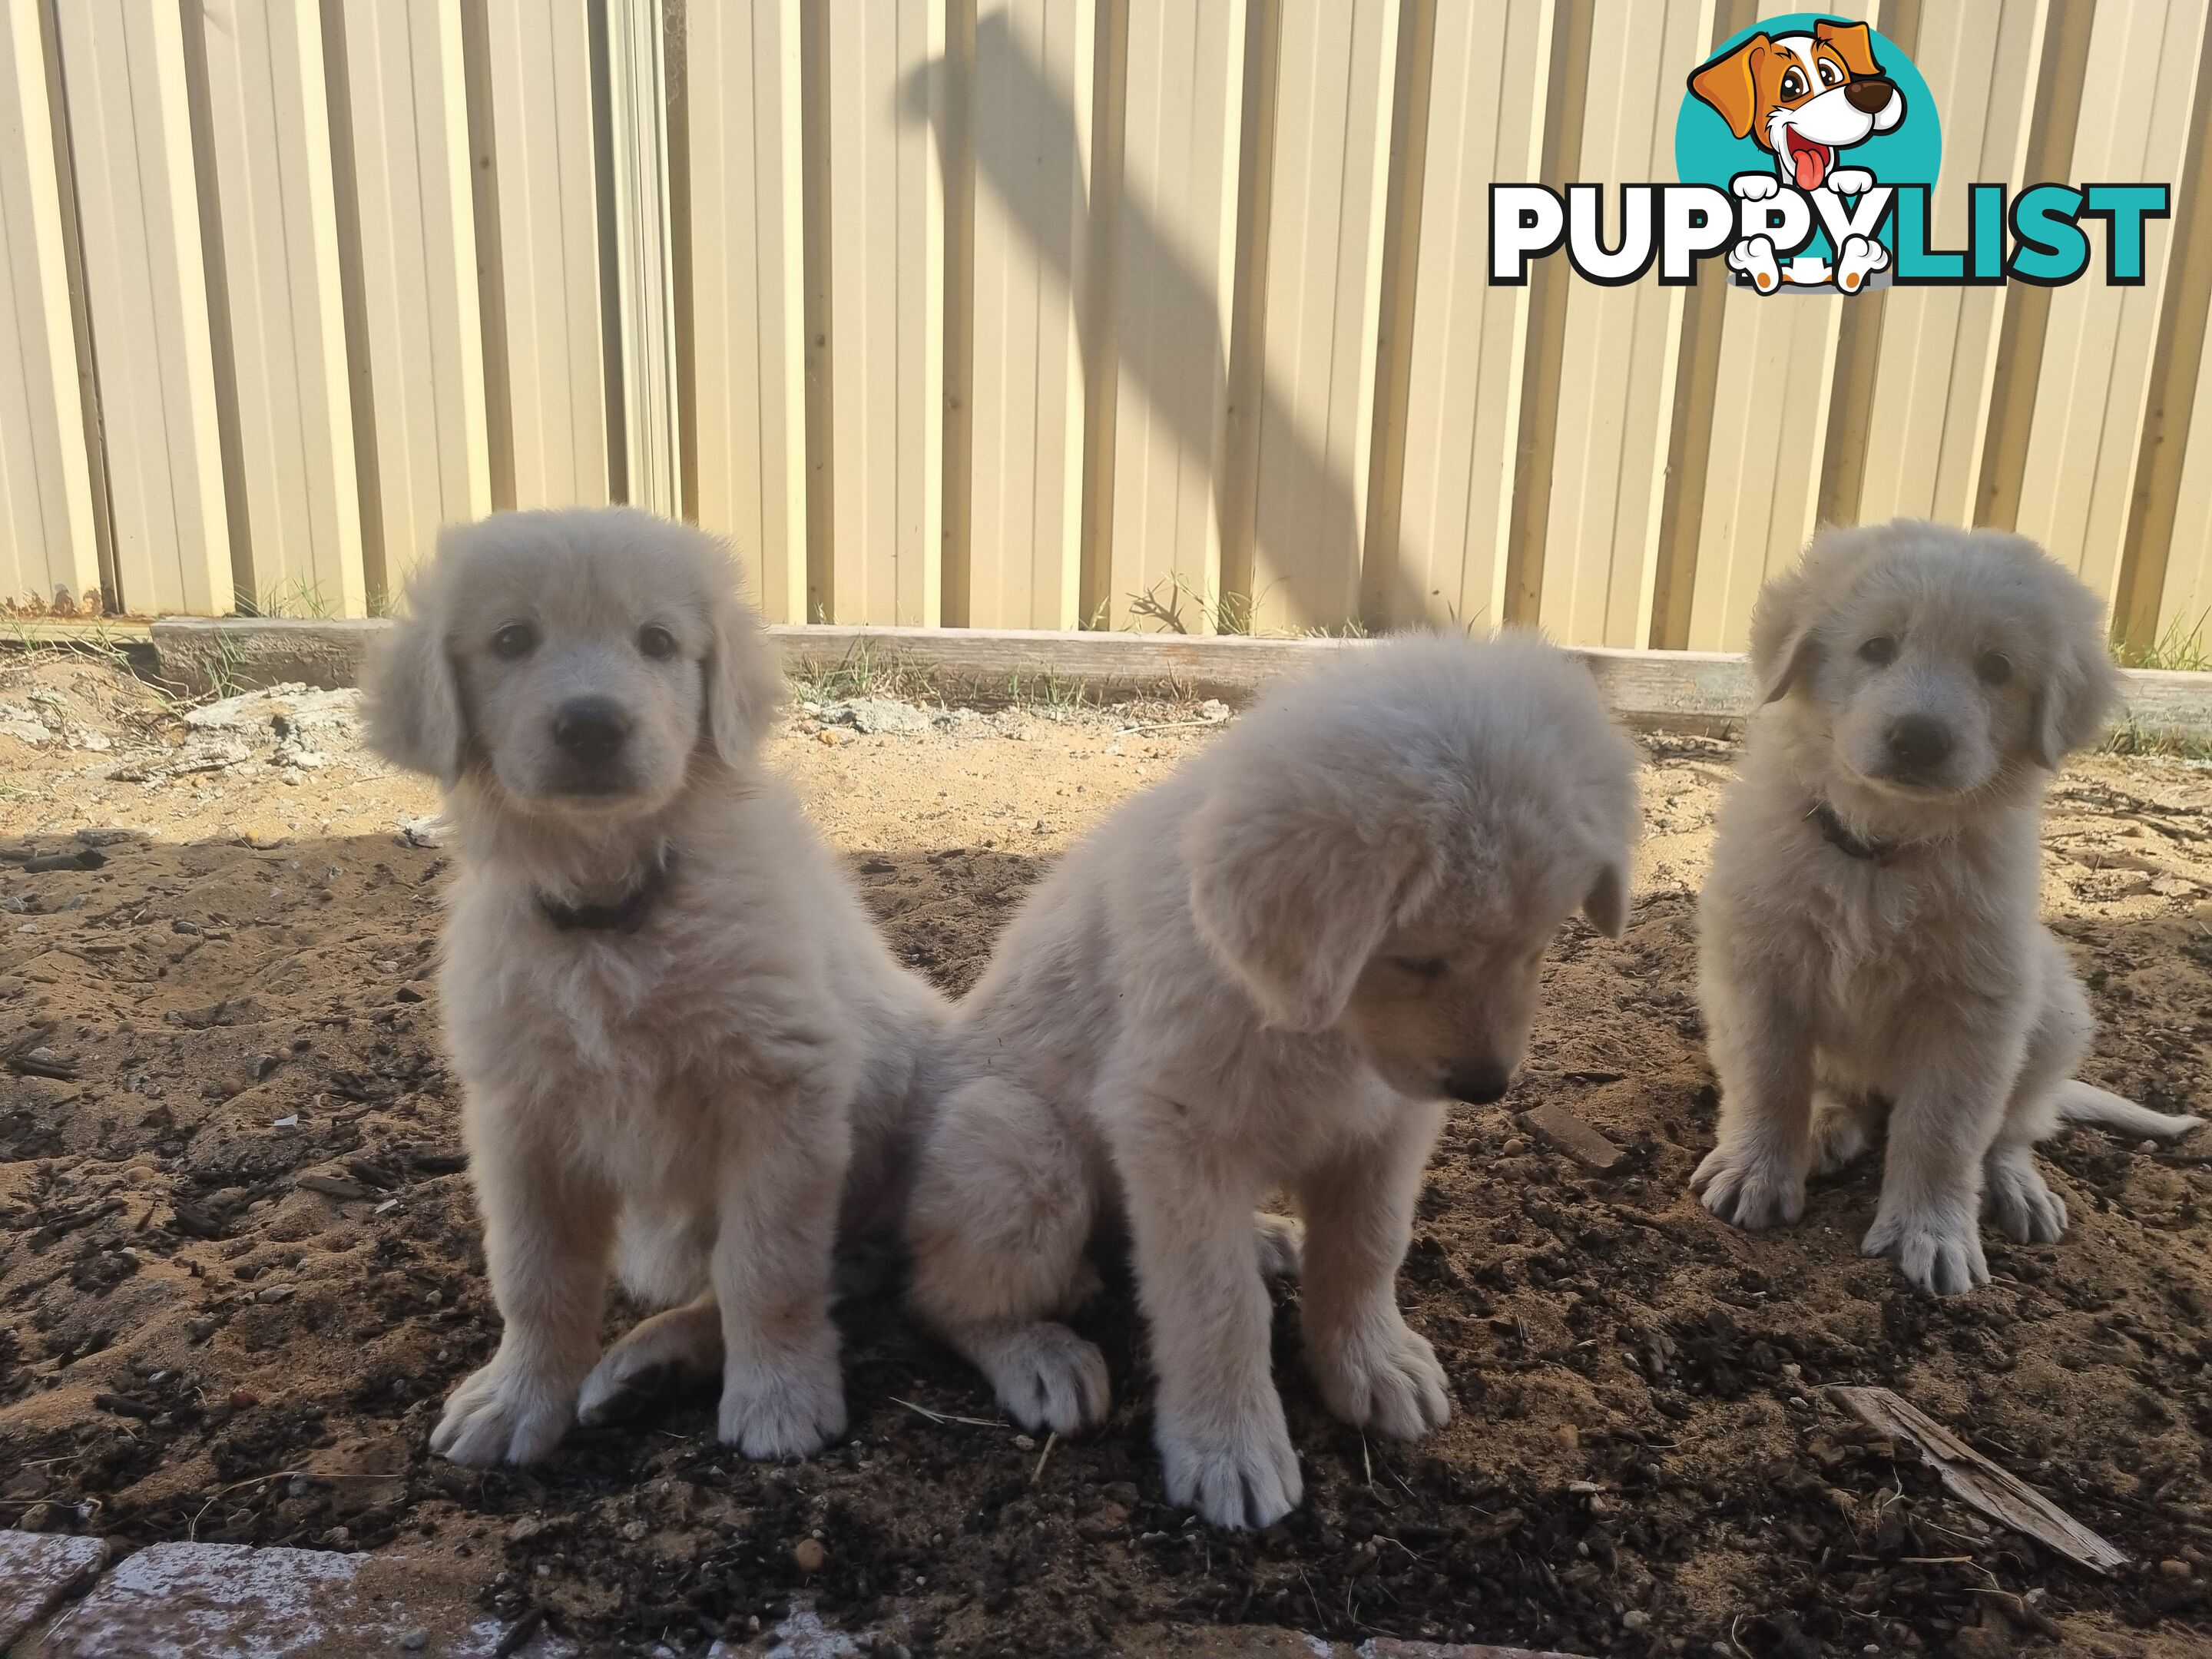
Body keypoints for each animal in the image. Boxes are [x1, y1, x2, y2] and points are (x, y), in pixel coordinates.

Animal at [365, 504, 951, 1469]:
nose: (592, 726)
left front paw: (780, 1397)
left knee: (831, 1265)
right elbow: (534, 1273)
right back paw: (644, 1367)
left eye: (659, 642)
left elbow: (768, 1267)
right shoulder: (521, 1116)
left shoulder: (779, 1090)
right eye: (511, 640)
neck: (613, 912)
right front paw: (519, 1398)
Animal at [902, 632, 1645, 1530]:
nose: (1485, 1089)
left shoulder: (1388, 1127)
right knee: (938, 1297)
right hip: (1019, 1146)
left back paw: (1263, 1238)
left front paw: (1373, 1363)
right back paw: (1038, 1354)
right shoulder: (1175, 1132)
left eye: (1538, 948)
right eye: (1419, 960)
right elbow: (1216, 1304)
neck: (1316, 1025)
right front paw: (1230, 1448)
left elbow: (1368, 1248)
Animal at [1690, 519, 2194, 1300]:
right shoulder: (1758, 968)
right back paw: (1826, 1127)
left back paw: (2019, 1190)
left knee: (2015, 1127)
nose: (1919, 739)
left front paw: (1931, 1235)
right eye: (1876, 648)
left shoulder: (1976, 1009)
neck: (1884, 847)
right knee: (1841, 1091)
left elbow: (1944, 1132)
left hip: (2054, 1013)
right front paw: (1756, 1173)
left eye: (1996, 667)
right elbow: (1769, 1079)